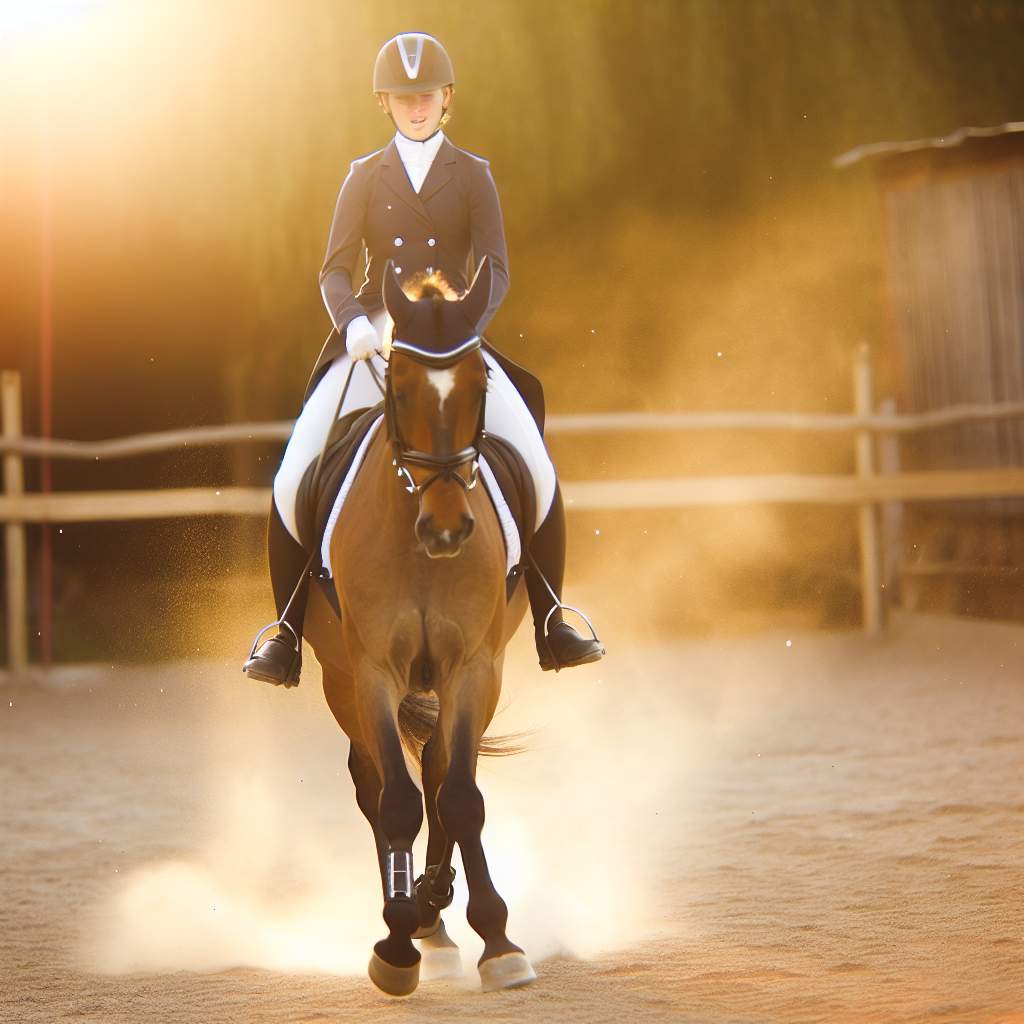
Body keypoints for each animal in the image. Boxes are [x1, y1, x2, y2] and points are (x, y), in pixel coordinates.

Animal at [301, 258, 536, 999]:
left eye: (479, 384)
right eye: (399, 385)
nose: (447, 529)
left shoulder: (475, 668)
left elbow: (458, 797)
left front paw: (497, 940)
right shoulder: (371, 670)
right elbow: (399, 802)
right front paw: (397, 943)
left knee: (435, 766)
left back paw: (435, 909)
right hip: (339, 680)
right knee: (375, 784)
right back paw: (415, 915)